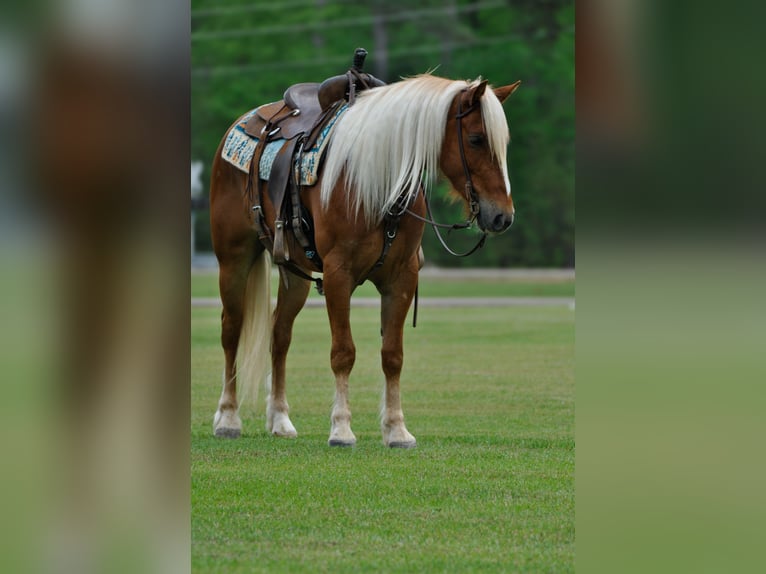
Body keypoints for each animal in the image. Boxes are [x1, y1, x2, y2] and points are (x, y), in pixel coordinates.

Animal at [210, 73, 521, 447]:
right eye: (475, 139)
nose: (502, 216)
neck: (378, 182)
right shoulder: (338, 274)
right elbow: (343, 352)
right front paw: (341, 428)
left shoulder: (402, 278)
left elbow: (393, 356)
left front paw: (397, 429)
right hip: (234, 260)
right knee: (231, 330)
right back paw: (228, 417)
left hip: (294, 276)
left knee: (279, 335)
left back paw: (280, 419)